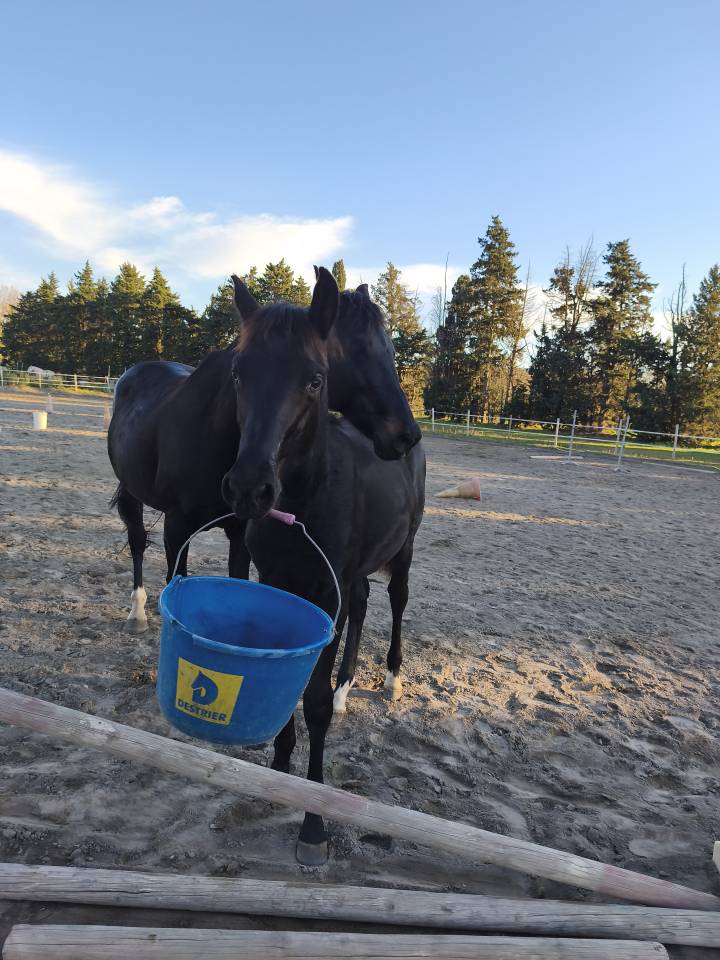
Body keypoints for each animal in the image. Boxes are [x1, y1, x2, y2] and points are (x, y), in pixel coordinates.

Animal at [108, 278, 421, 632]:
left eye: (389, 351)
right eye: (236, 373)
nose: (407, 434)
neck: (215, 436)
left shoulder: (240, 533)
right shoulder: (177, 528)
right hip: (130, 489)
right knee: (136, 539)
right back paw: (137, 613)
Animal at [223, 267, 425, 865]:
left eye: (315, 379)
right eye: (239, 373)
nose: (250, 488)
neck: (303, 500)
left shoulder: (324, 594)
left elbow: (309, 704)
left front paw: (313, 821)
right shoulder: (282, 587)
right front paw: (277, 775)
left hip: (404, 550)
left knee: (397, 602)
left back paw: (389, 678)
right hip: (352, 576)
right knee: (362, 607)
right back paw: (345, 687)